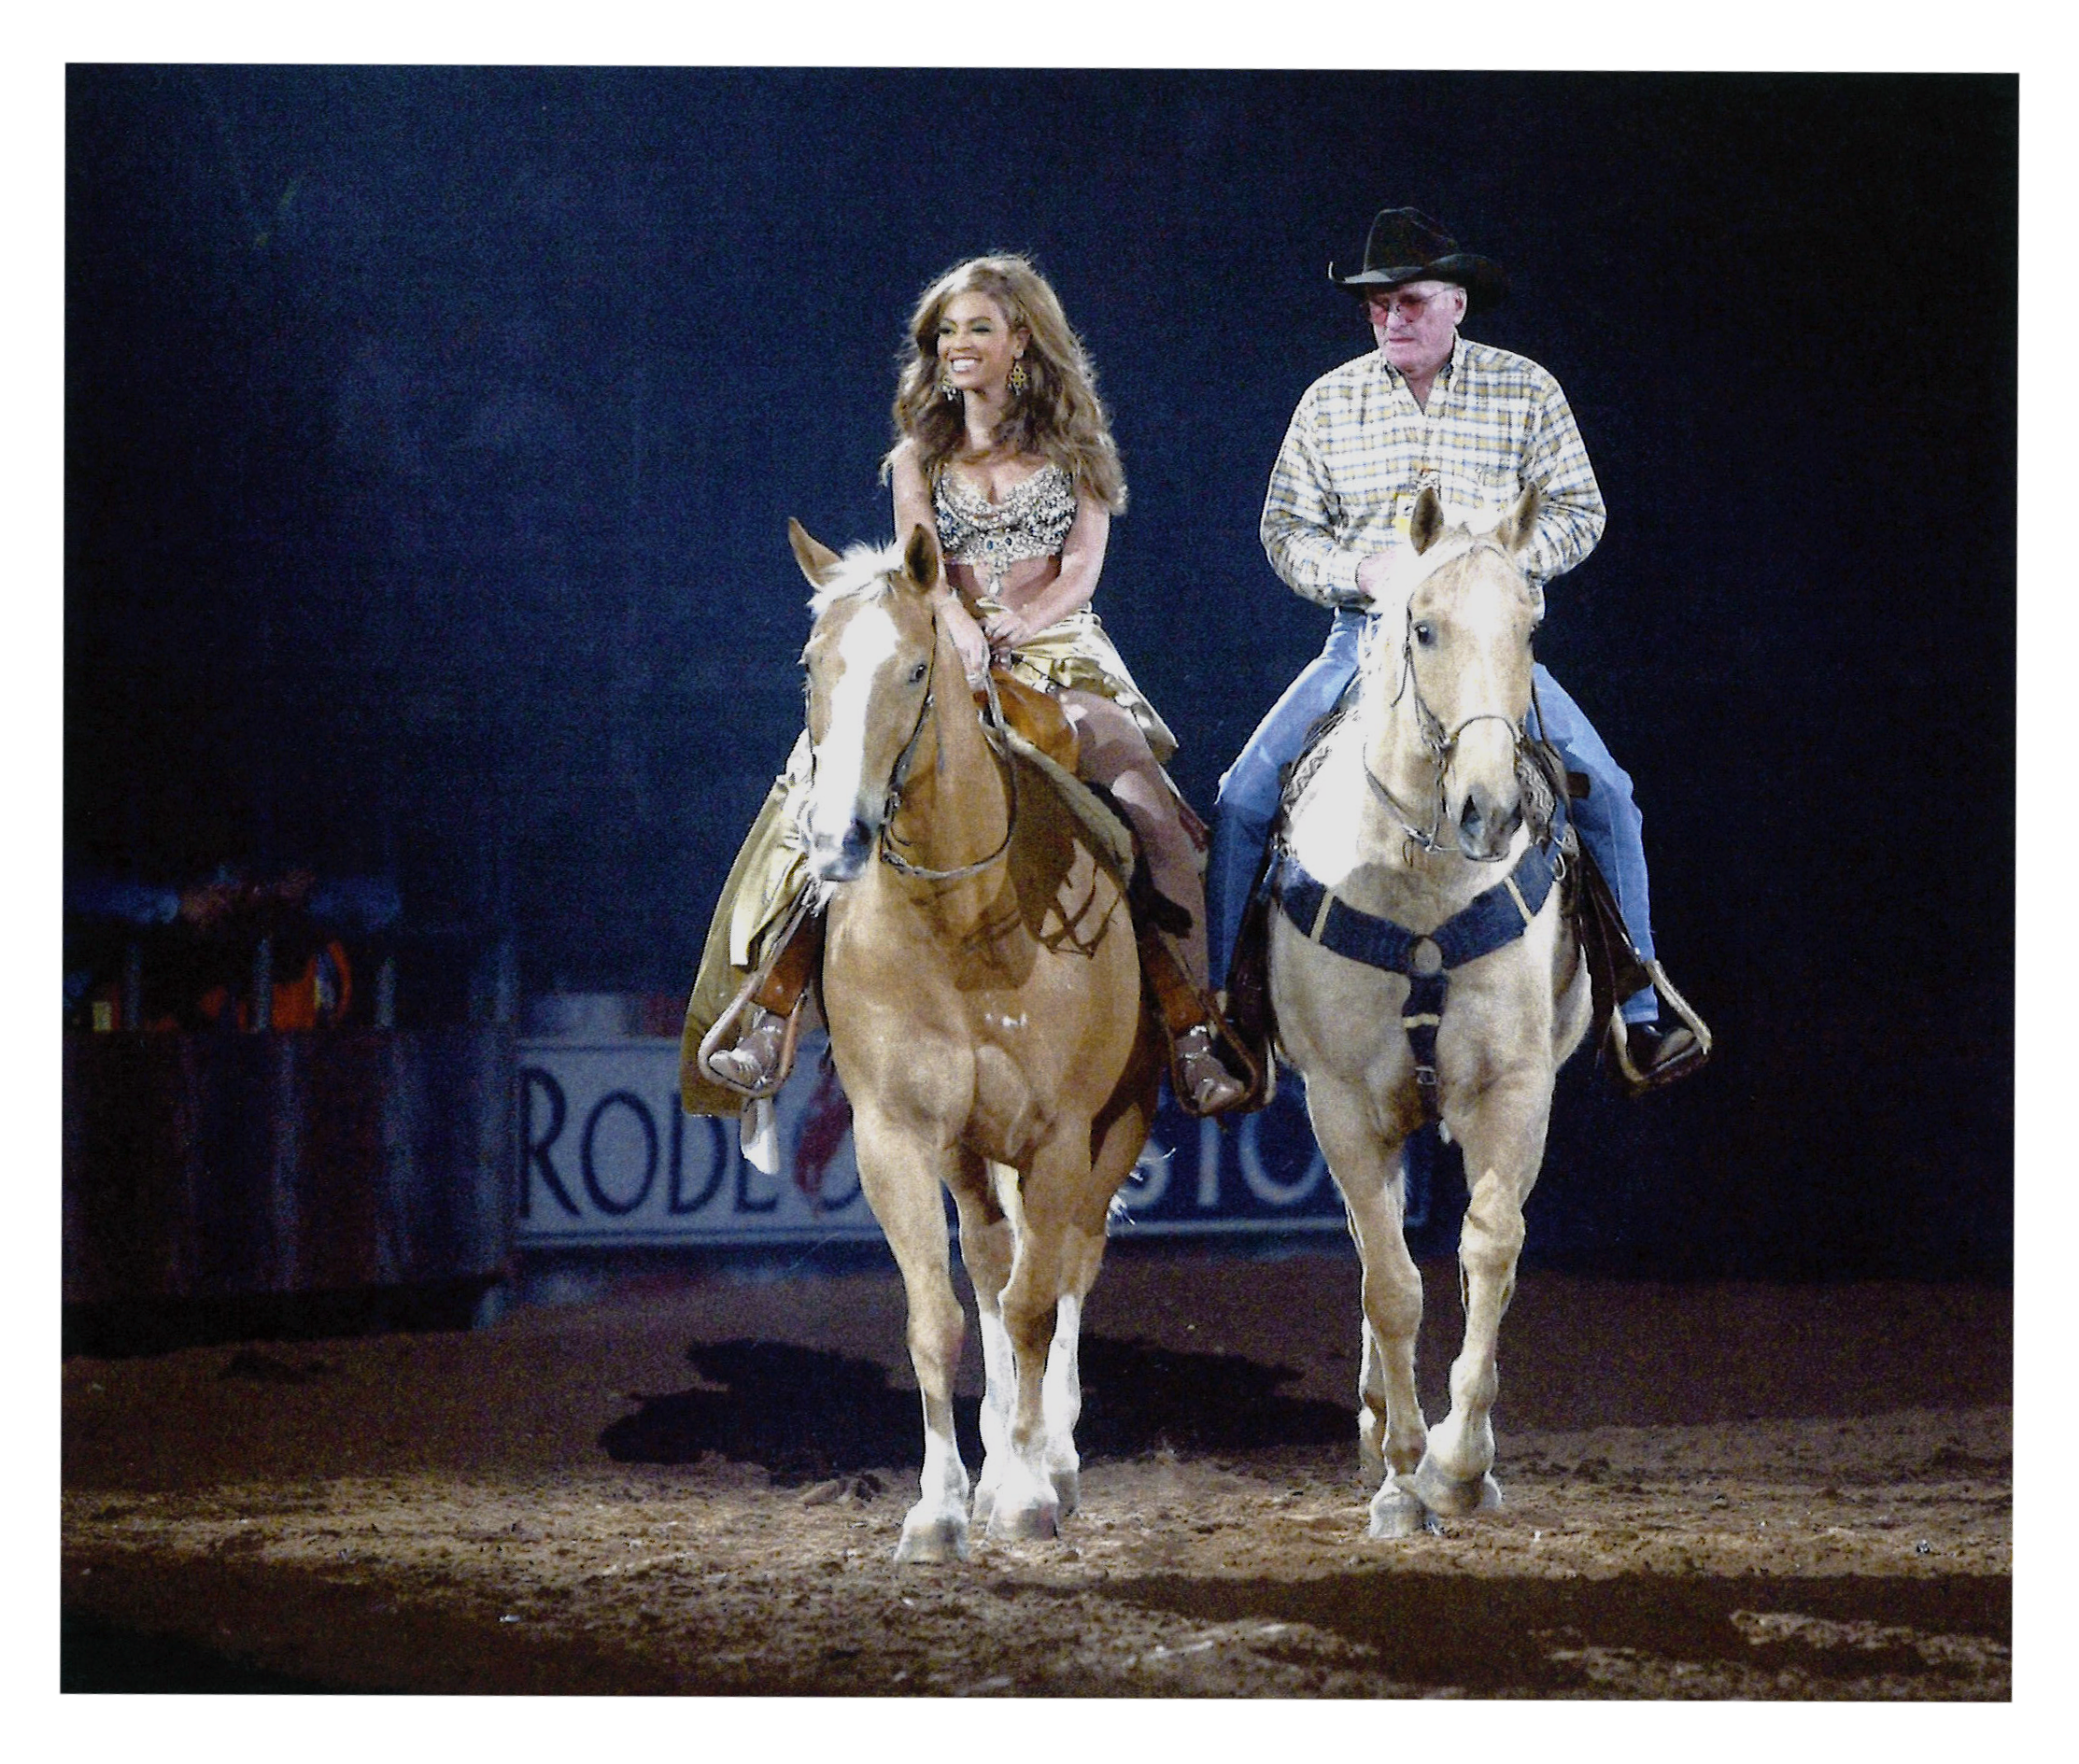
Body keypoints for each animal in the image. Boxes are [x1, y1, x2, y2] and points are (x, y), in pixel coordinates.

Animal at [785, 515, 1164, 1562]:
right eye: (813, 665)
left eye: (915, 669)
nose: (837, 838)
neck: (960, 922)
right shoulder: (896, 1137)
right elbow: (940, 1315)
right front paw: (942, 1504)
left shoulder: (1061, 1136)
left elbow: (1038, 1304)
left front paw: (1030, 1489)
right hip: (969, 1152)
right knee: (996, 1271)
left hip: (1110, 1131)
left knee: (1067, 1265)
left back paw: (1050, 1458)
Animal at [1264, 487, 1588, 1537]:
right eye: (1424, 626)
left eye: (1528, 625)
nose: (1489, 806)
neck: (1421, 893)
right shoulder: (1338, 1101)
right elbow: (1393, 1282)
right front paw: (1404, 1475)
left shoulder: (1517, 1087)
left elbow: (1490, 1249)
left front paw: (1458, 1463)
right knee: (1374, 1249)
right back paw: (1377, 1424)